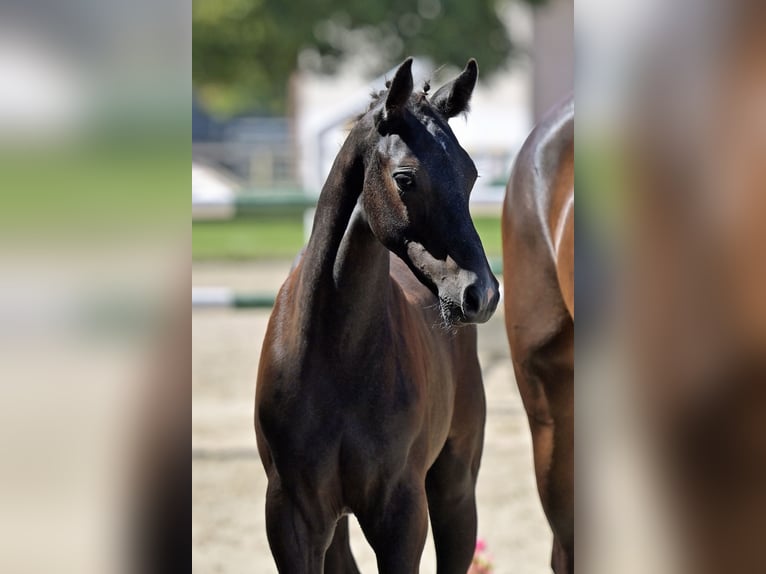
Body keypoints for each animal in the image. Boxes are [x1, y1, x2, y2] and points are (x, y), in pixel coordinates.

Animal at [255, 58, 499, 573]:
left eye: (470, 175)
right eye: (405, 178)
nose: (481, 294)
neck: (336, 354)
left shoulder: (401, 515)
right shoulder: (292, 519)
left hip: (455, 488)